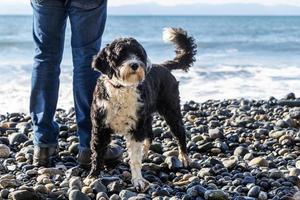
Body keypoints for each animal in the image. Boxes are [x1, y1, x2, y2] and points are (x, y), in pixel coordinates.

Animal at [88, 27, 198, 191]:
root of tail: (163, 66)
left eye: (138, 54)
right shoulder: (100, 127)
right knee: (150, 134)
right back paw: (145, 153)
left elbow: (134, 158)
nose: (135, 65)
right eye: (121, 54)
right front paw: (93, 176)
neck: (122, 88)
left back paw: (184, 157)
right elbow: (98, 153)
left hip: (171, 110)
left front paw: (138, 180)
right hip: (147, 115)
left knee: (180, 133)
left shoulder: (136, 127)